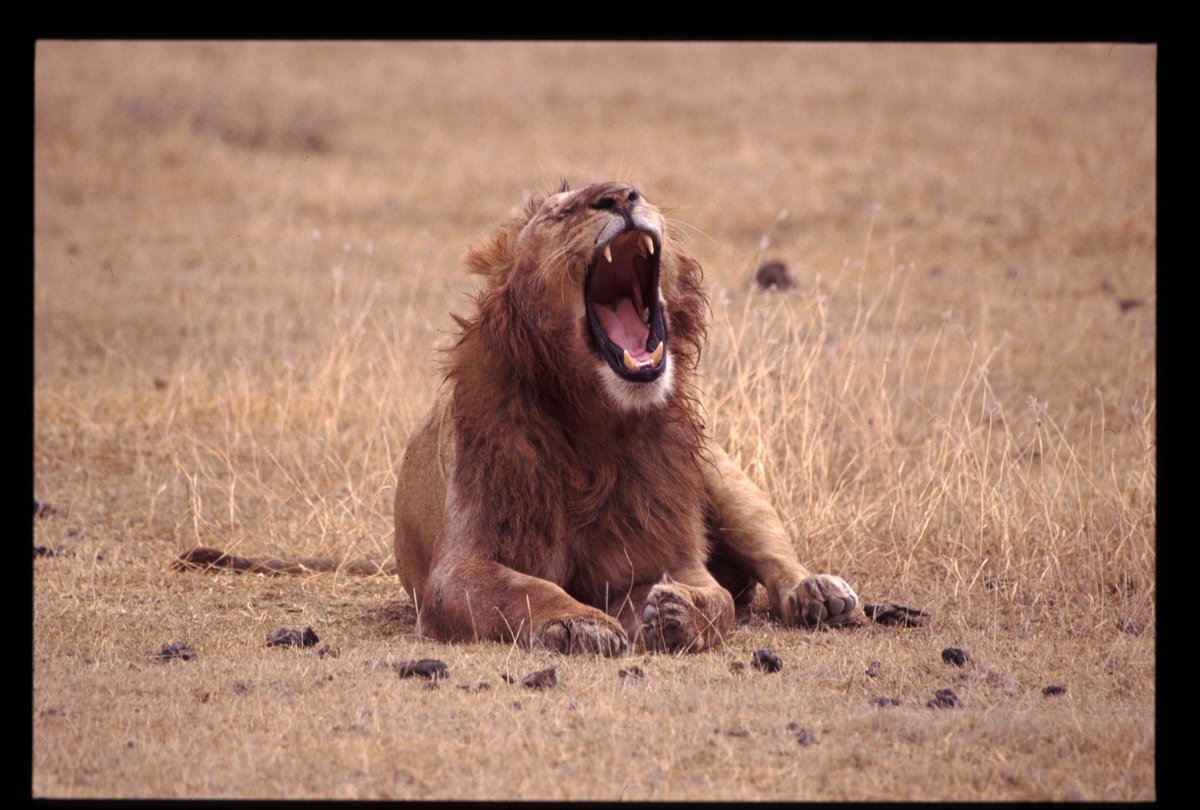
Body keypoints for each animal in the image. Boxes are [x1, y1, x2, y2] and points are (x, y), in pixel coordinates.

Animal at [392, 181, 859, 656]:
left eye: (638, 192)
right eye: (560, 214)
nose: (619, 196)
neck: (597, 421)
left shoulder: (668, 552)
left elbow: (718, 601)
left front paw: (678, 612)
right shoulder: (456, 570)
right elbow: (524, 589)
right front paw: (578, 622)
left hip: (723, 480)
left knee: (773, 554)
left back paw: (818, 592)